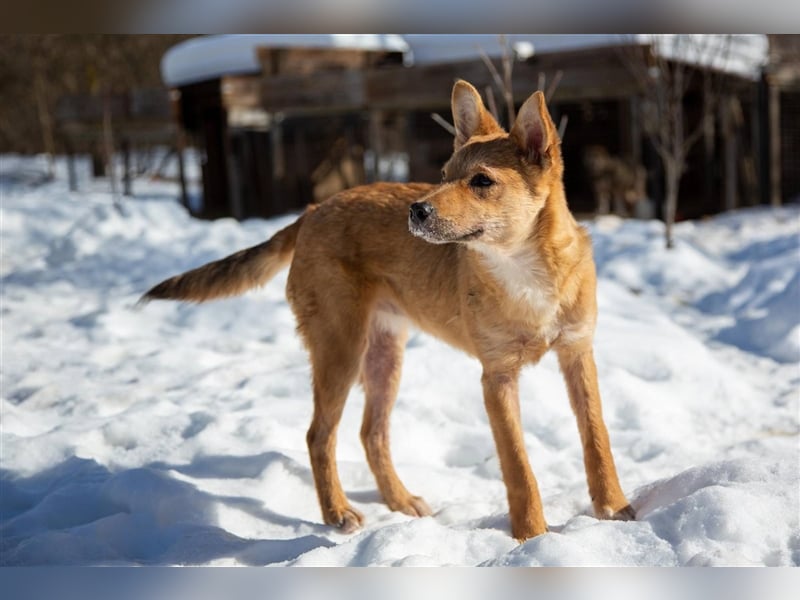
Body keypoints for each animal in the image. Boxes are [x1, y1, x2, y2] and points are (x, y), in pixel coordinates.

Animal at [141, 77, 636, 540]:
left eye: (482, 181)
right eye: (443, 173)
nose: (416, 211)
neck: (525, 270)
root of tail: (313, 209)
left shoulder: (578, 355)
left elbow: (597, 439)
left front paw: (614, 508)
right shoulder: (497, 377)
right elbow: (518, 466)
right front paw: (531, 536)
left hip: (384, 357)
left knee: (371, 433)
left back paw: (399, 501)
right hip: (340, 350)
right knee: (320, 435)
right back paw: (337, 513)